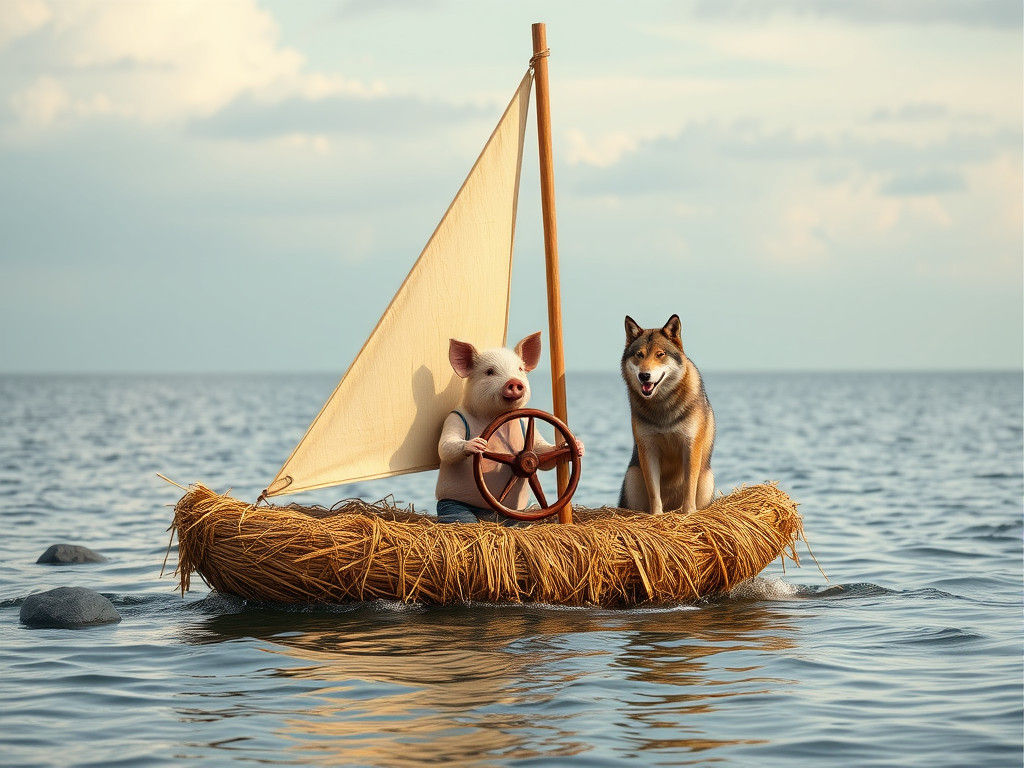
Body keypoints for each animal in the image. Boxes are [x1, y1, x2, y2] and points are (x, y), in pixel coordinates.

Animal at [435, 331, 582, 524]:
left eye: (520, 369)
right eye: (489, 372)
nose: (514, 382)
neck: (492, 415)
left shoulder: (528, 423)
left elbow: (543, 453)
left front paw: (576, 446)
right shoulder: (454, 418)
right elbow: (445, 448)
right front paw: (473, 445)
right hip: (452, 508)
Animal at [618, 314, 715, 515]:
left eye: (660, 354)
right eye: (639, 355)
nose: (644, 375)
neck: (662, 405)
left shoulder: (690, 446)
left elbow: (689, 487)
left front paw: (688, 513)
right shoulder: (648, 449)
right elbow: (654, 492)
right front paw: (656, 515)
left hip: (707, 479)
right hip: (632, 477)